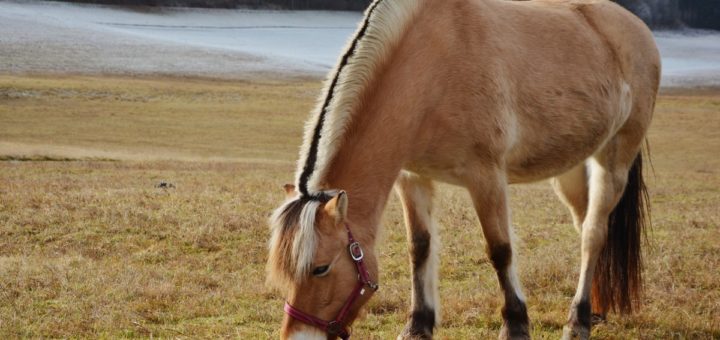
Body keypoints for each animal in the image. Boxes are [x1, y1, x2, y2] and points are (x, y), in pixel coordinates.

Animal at [266, 0, 660, 338]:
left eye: (321, 268)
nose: (300, 336)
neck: (432, 67)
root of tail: (636, 28)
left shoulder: (486, 177)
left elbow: (500, 250)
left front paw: (516, 326)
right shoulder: (413, 178)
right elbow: (419, 247)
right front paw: (418, 325)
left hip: (614, 159)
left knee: (594, 233)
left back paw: (578, 321)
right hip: (572, 170)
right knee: (586, 228)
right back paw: (596, 309)